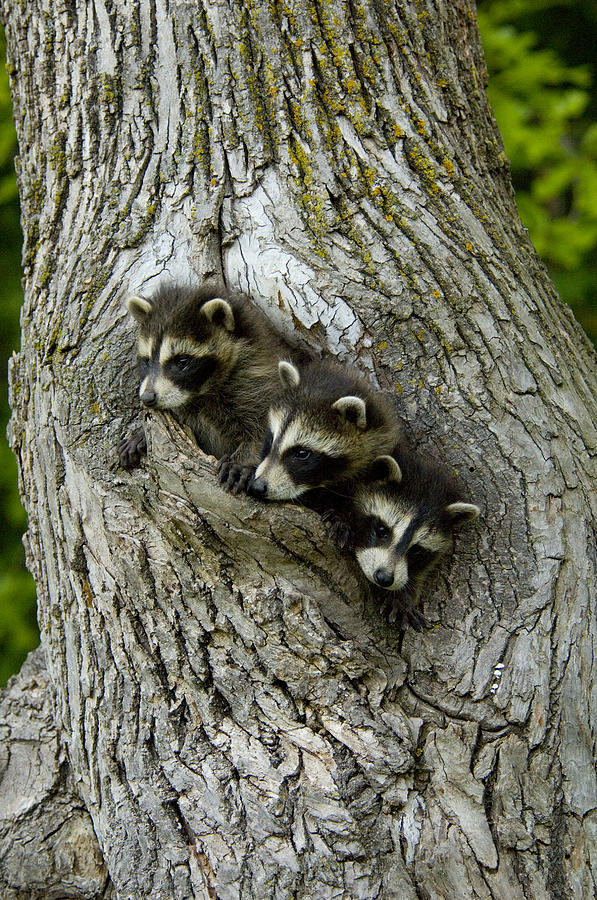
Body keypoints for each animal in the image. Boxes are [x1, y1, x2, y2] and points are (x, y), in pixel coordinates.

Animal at [117, 282, 288, 492]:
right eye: (147, 361)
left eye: (182, 361)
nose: (148, 398)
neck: (201, 393)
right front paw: (141, 434)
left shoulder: (258, 382)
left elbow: (265, 427)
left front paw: (244, 460)